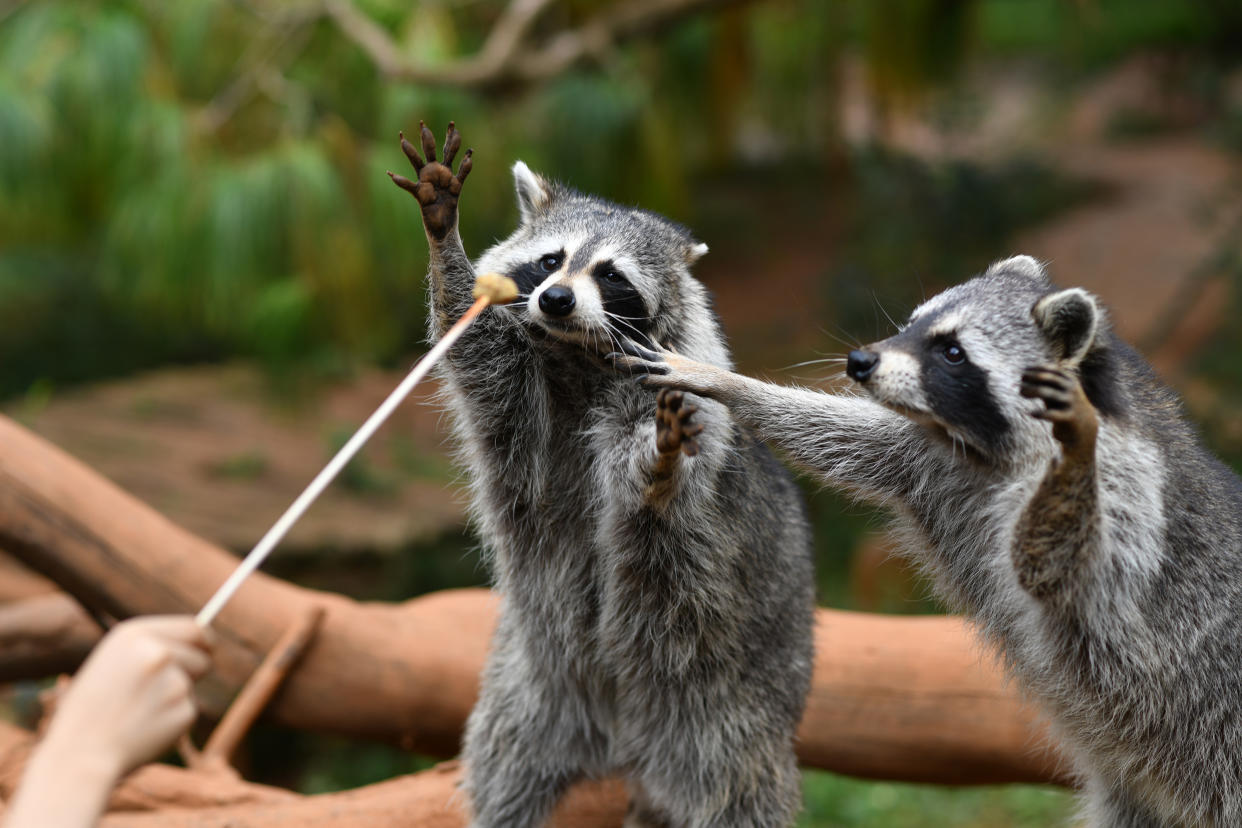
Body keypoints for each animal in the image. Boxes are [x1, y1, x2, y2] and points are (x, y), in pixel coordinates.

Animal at [387, 124, 814, 828]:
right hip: (529, 693)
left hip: (730, 707)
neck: (575, 358)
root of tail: (624, 741)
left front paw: (658, 470)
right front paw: (443, 235)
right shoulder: (514, 396)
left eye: (610, 274)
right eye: (549, 261)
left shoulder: (676, 388)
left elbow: (664, 490)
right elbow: (469, 339)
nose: (556, 299)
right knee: (502, 774)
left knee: (740, 791)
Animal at [613, 255, 1242, 824]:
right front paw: (726, 382)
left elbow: (1061, 568)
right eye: (912, 325)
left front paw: (1072, 462)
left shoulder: (1131, 489)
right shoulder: (930, 456)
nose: (860, 359)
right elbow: (842, 435)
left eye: (953, 351)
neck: (985, 446)